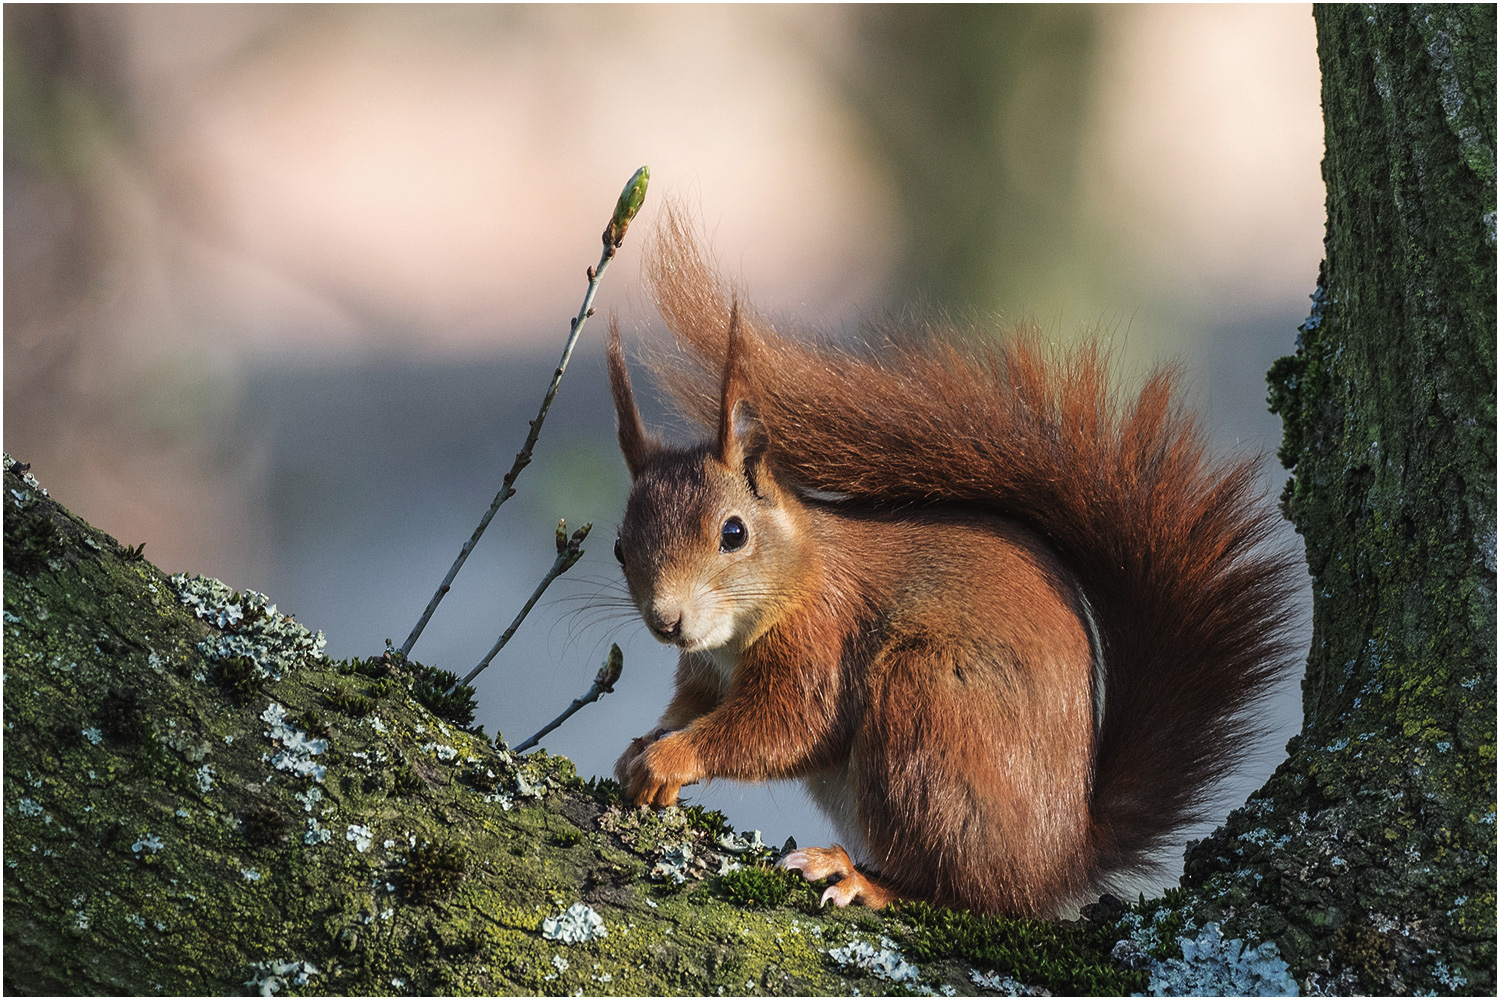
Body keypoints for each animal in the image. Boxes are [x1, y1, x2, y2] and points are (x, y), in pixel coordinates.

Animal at [603, 215, 1296, 917]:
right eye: (619, 547)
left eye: (734, 533)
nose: (667, 621)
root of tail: (1060, 862)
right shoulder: (705, 673)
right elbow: (691, 704)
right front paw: (642, 744)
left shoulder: (822, 641)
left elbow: (786, 728)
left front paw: (673, 758)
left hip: (927, 711)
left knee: (960, 890)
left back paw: (861, 878)